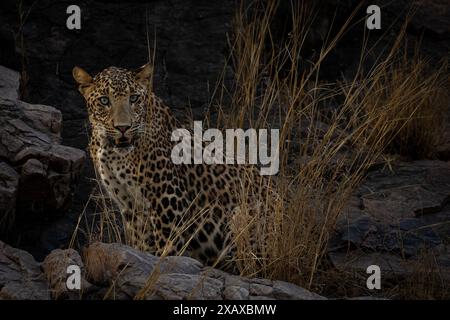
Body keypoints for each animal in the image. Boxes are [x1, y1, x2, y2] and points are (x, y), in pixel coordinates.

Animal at [71, 62, 268, 264]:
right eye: (104, 101)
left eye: (133, 98)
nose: (123, 127)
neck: (110, 151)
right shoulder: (130, 205)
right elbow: (140, 243)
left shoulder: (168, 199)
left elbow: (167, 247)